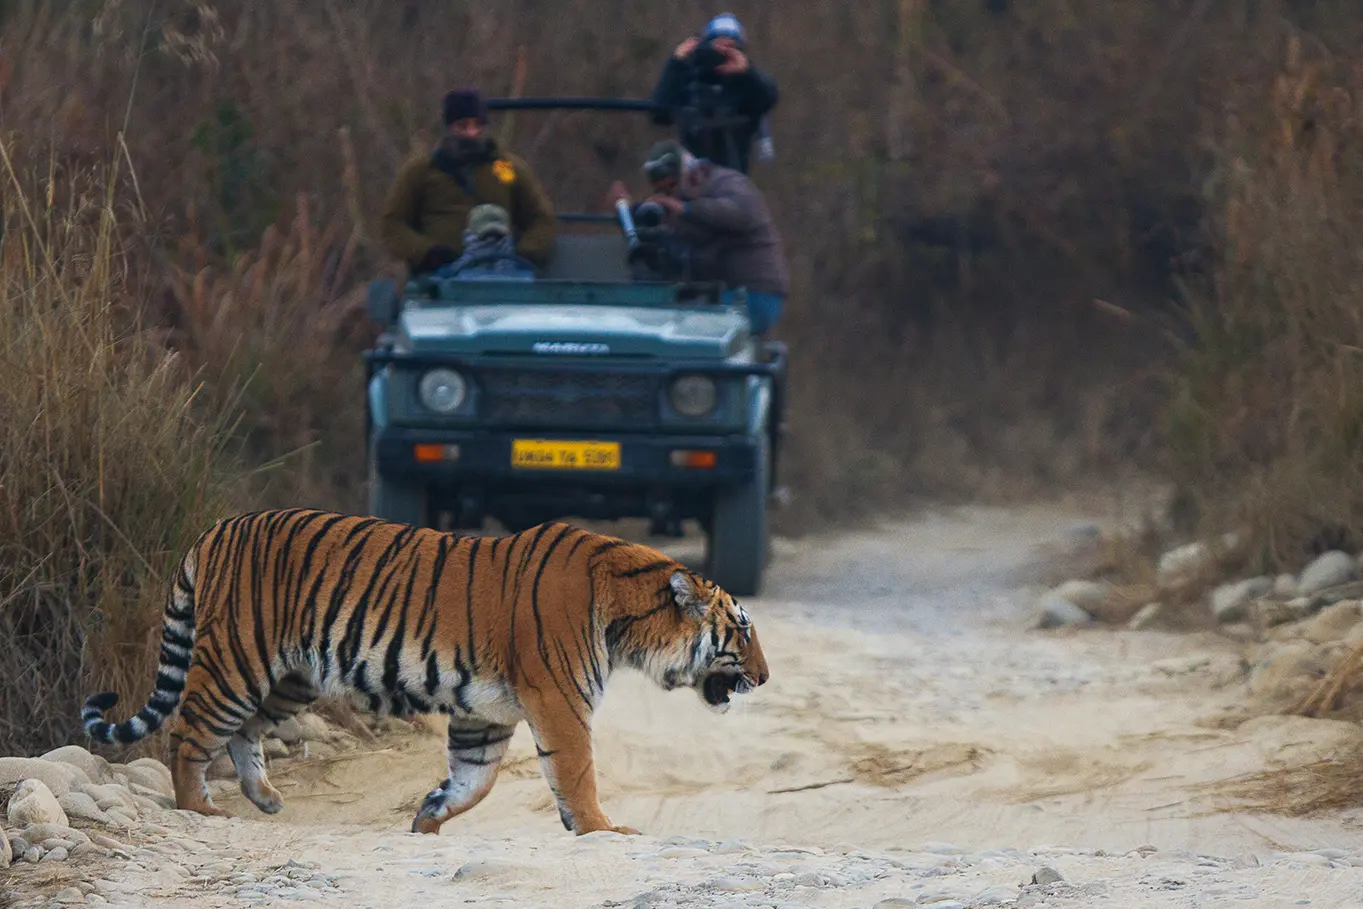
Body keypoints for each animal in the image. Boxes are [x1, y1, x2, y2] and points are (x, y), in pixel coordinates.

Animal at [79, 509, 774, 834]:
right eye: (742, 630)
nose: (765, 678)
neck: (627, 618)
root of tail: (217, 527)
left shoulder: (485, 714)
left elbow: (476, 781)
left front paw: (428, 816)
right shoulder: (558, 701)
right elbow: (576, 773)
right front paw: (603, 829)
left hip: (291, 677)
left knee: (246, 731)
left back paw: (266, 797)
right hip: (236, 660)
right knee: (188, 733)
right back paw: (200, 807)